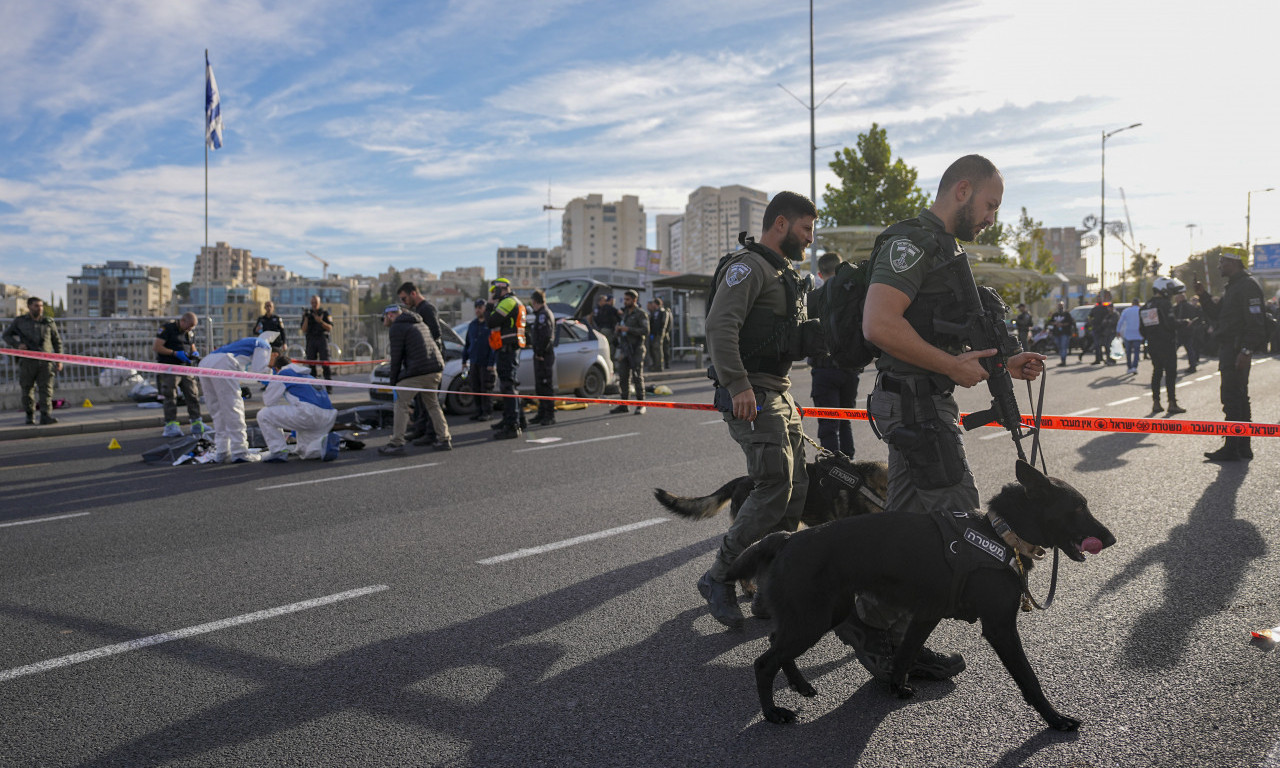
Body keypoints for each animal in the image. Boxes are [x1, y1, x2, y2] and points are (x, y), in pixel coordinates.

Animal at [727, 460, 1116, 732]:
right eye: (1079, 507)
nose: (1111, 539)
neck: (998, 533)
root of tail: (786, 538)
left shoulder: (927, 614)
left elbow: (905, 653)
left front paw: (896, 688)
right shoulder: (1000, 628)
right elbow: (1029, 679)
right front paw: (1055, 719)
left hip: (818, 616)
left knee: (777, 643)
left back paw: (799, 684)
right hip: (813, 620)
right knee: (764, 662)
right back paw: (773, 712)